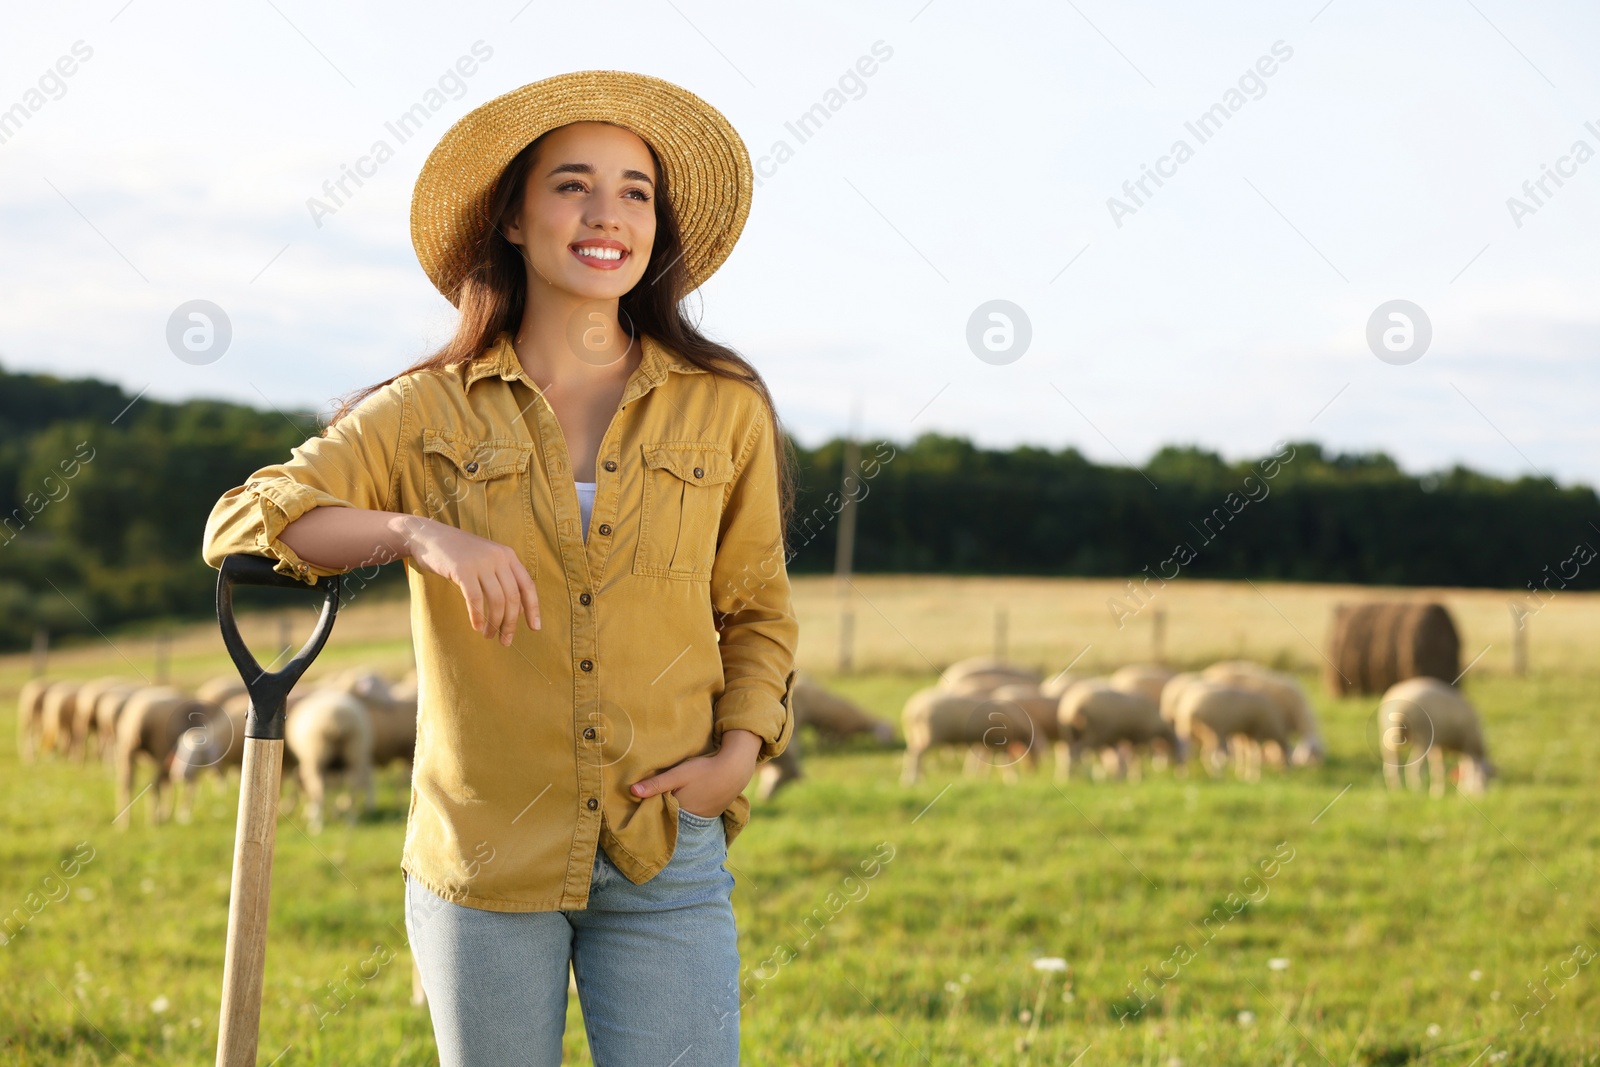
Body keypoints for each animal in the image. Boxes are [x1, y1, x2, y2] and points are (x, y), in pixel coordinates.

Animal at [114, 687, 217, 831]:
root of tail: (141, 717)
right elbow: (170, 783)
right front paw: (167, 815)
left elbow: (168, 783)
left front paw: (167, 814)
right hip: (160, 749)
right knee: (154, 785)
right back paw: (153, 821)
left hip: (126, 748)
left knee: (126, 783)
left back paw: (124, 823)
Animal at [284, 687, 374, 838]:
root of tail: (339, 719)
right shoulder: (336, 769)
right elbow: (334, 788)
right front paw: (335, 812)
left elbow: (320, 791)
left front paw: (313, 813)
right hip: (355, 754)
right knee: (353, 788)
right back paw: (350, 821)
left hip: (318, 757)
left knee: (318, 791)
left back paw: (316, 824)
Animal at [896, 684, 1043, 783]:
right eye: (1035, 754)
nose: (1033, 772)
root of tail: (912, 709)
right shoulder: (1000, 742)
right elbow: (1003, 761)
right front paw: (1012, 778)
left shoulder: (985, 743)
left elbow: (981, 760)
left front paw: (978, 776)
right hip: (930, 734)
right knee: (917, 754)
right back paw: (914, 779)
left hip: (915, 735)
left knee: (911, 752)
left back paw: (913, 778)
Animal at [1056, 681, 1184, 780]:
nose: (1178, 768)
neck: (1158, 723)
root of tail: (1072, 707)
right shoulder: (1140, 738)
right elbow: (1135, 757)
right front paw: (1138, 775)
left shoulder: (1118, 739)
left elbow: (1121, 757)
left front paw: (1122, 775)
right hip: (1092, 734)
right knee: (1075, 752)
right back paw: (1074, 776)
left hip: (1070, 734)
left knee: (1068, 753)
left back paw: (1065, 775)